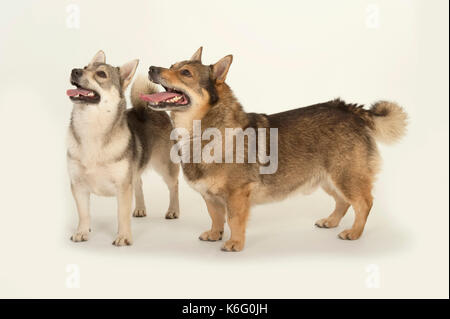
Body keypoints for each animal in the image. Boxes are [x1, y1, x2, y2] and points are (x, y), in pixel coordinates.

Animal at [140, 47, 408, 252]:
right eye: (172, 65)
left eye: (185, 73)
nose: (151, 68)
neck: (202, 131)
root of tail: (350, 109)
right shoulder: (210, 196)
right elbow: (216, 217)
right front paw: (215, 234)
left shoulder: (238, 195)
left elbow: (233, 220)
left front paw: (235, 243)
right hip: (328, 179)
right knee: (344, 202)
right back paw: (331, 221)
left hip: (345, 176)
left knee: (364, 203)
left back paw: (354, 232)